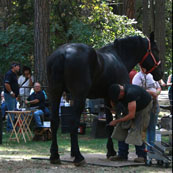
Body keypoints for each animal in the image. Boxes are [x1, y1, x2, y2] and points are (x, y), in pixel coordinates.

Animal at [46, 32, 163, 166]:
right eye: (156, 50)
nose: (160, 73)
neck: (119, 56)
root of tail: (63, 53)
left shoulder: (107, 97)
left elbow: (109, 123)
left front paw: (110, 151)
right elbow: (117, 121)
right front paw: (115, 151)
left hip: (55, 93)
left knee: (54, 121)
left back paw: (55, 155)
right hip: (79, 97)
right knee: (73, 123)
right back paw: (78, 157)